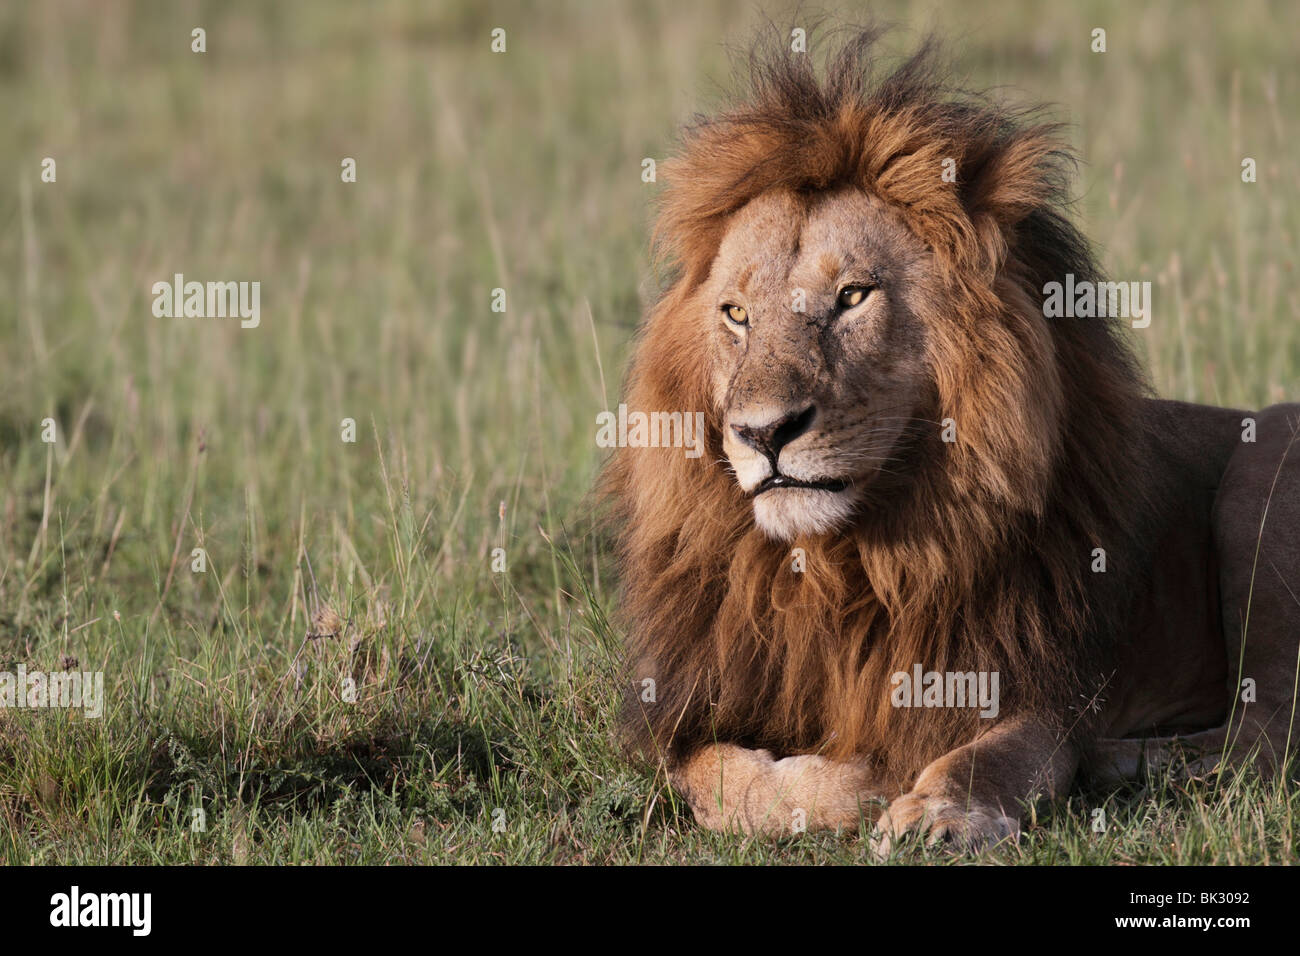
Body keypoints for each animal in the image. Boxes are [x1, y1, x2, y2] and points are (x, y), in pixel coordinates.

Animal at [602, 29, 1300, 853]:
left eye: (853, 296)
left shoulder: (1034, 689)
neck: (843, 567)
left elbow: (989, 756)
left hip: (1266, 462)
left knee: (1266, 736)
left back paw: (1116, 760)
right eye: (736, 313)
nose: (762, 431)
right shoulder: (696, 709)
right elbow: (721, 780)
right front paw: (854, 783)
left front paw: (934, 810)